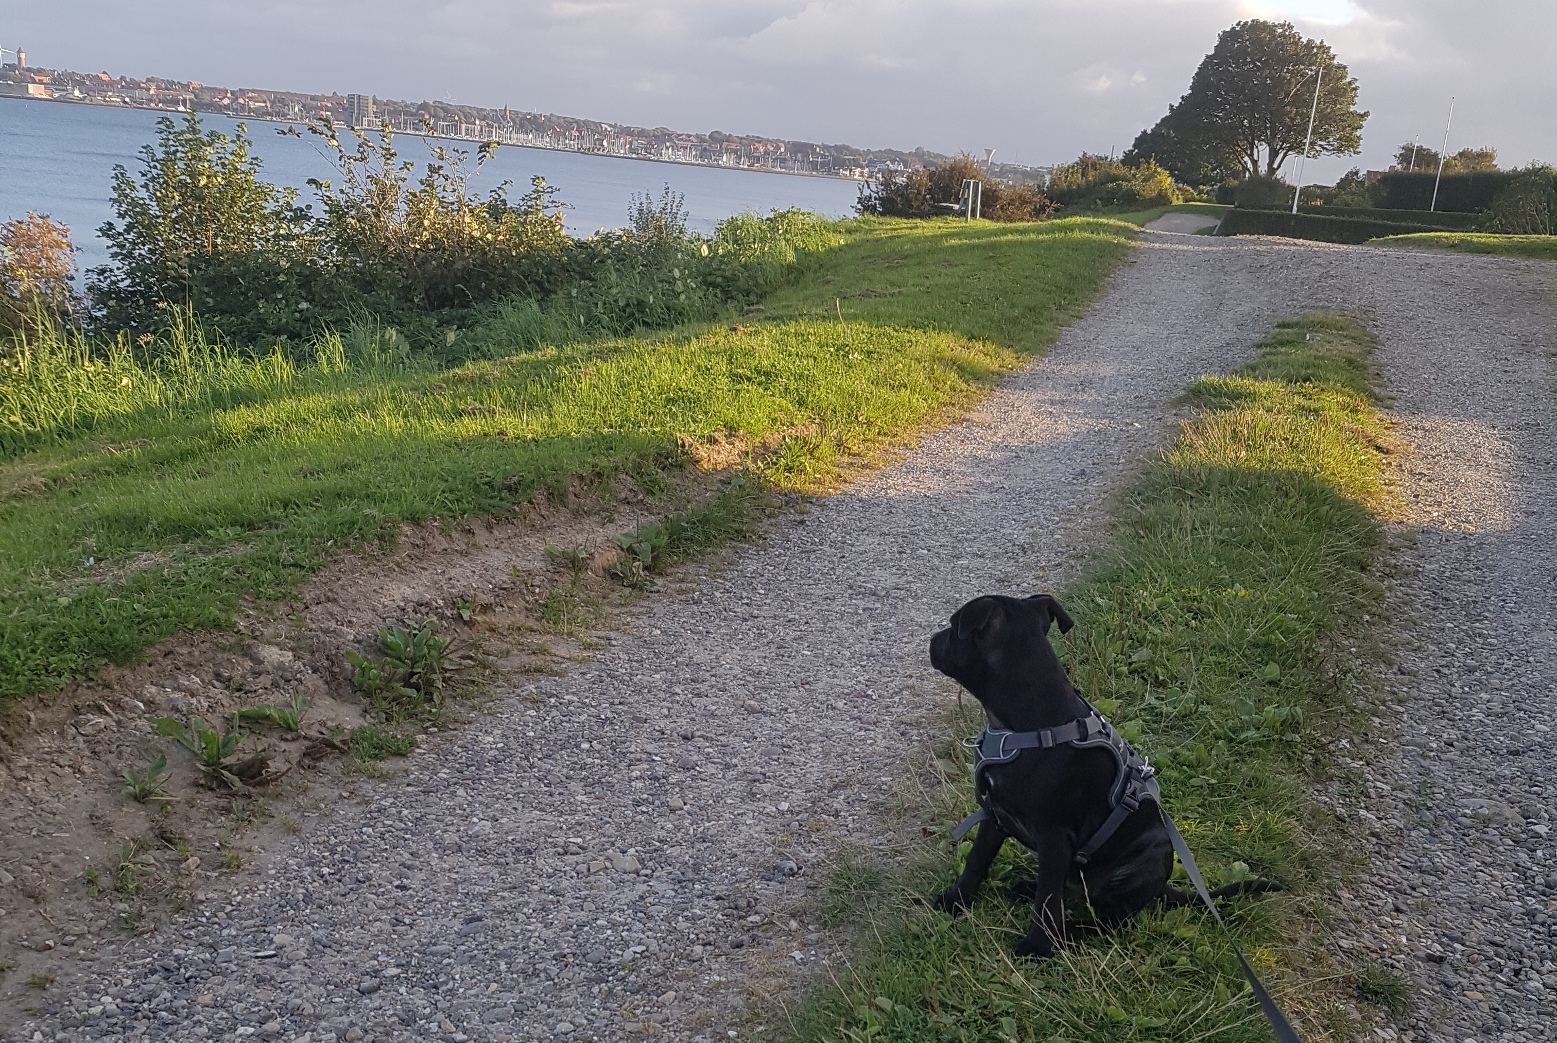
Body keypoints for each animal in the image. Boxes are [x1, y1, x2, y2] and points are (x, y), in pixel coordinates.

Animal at [928, 593, 1278, 959]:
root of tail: (1161, 887)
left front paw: (1037, 947)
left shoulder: (1054, 836)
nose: (933, 639)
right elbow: (977, 862)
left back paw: (1071, 931)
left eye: (953, 628)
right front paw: (955, 902)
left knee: (1108, 919)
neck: (1023, 727)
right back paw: (1028, 889)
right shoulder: (993, 816)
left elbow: (1047, 900)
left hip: (1144, 860)